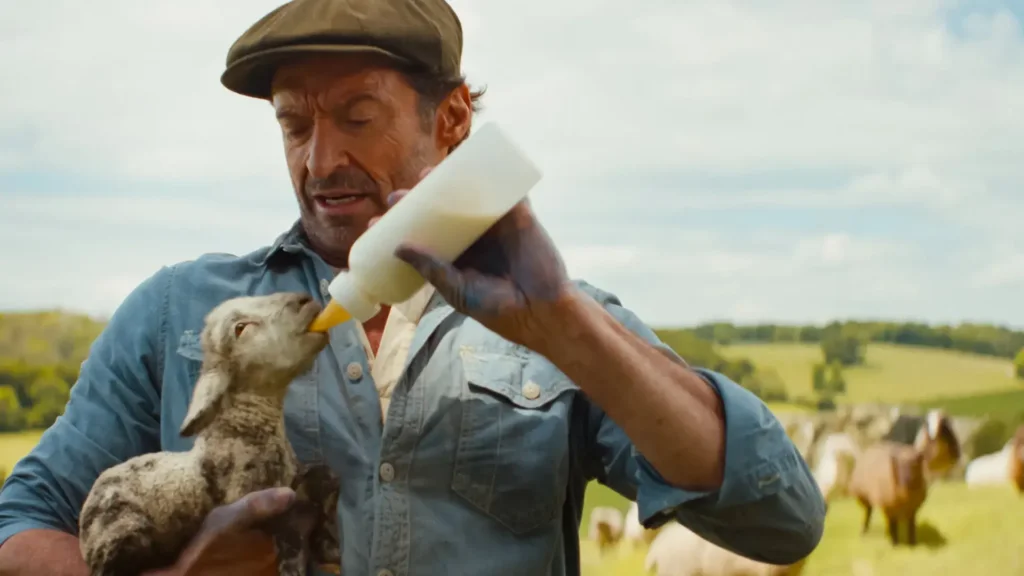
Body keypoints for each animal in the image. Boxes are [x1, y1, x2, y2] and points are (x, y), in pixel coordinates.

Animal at [78, 292, 341, 576]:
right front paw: (293, 562)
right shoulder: (249, 498)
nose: (305, 300)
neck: (247, 426)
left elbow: (327, 476)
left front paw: (329, 546)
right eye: (240, 328)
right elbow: (286, 518)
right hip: (120, 534)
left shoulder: (294, 477)